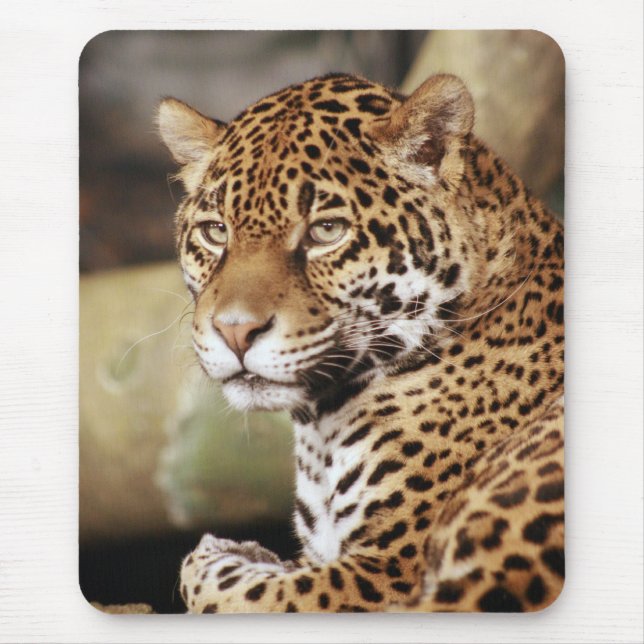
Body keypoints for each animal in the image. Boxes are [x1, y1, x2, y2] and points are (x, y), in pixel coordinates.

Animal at [157, 71, 564, 613]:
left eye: (326, 231)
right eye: (215, 231)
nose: (235, 331)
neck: (320, 426)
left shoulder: (389, 571)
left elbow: (240, 589)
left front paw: (227, 552)